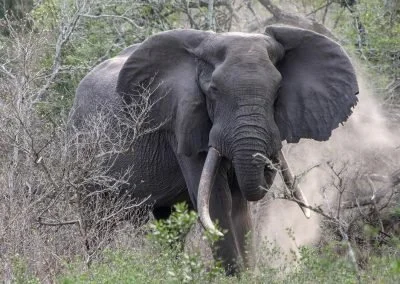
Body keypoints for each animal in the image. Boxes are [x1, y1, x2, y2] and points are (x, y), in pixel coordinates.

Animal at [70, 25, 358, 274]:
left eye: (278, 91)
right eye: (213, 91)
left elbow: (239, 204)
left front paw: (250, 274)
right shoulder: (180, 122)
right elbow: (218, 202)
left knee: (169, 223)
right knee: (97, 221)